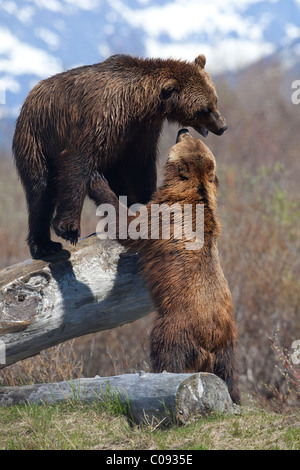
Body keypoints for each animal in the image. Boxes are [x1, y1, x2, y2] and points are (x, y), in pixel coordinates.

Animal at [12, 56, 227, 260]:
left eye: (215, 100)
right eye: (205, 109)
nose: (222, 126)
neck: (138, 104)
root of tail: (31, 95)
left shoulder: (139, 132)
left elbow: (139, 169)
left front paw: (146, 203)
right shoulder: (102, 117)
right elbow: (78, 160)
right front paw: (68, 228)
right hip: (36, 137)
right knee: (40, 190)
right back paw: (44, 245)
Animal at [86, 129, 239, 404]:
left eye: (186, 141)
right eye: (194, 140)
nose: (182, 130)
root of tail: (210, 340)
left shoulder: (160, 215)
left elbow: (130, 227)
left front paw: (97, 181)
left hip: (174, 325)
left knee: (166, 352)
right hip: (229, 346)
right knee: (231, 375)